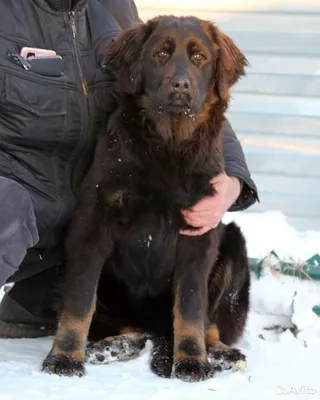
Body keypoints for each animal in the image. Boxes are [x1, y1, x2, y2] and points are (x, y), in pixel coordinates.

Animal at [42, 15, 251, 382]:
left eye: (199, 57)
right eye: (161, 54)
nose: (181, 85)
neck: (167, 145)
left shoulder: (199, 233)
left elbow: (191, 306)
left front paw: (191, 360)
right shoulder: (92, 225)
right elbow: (80, 301)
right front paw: (65, 356)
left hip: (233, 244)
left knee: (209, 323)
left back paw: (221, 353)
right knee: (130, 329)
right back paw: (105, 348)